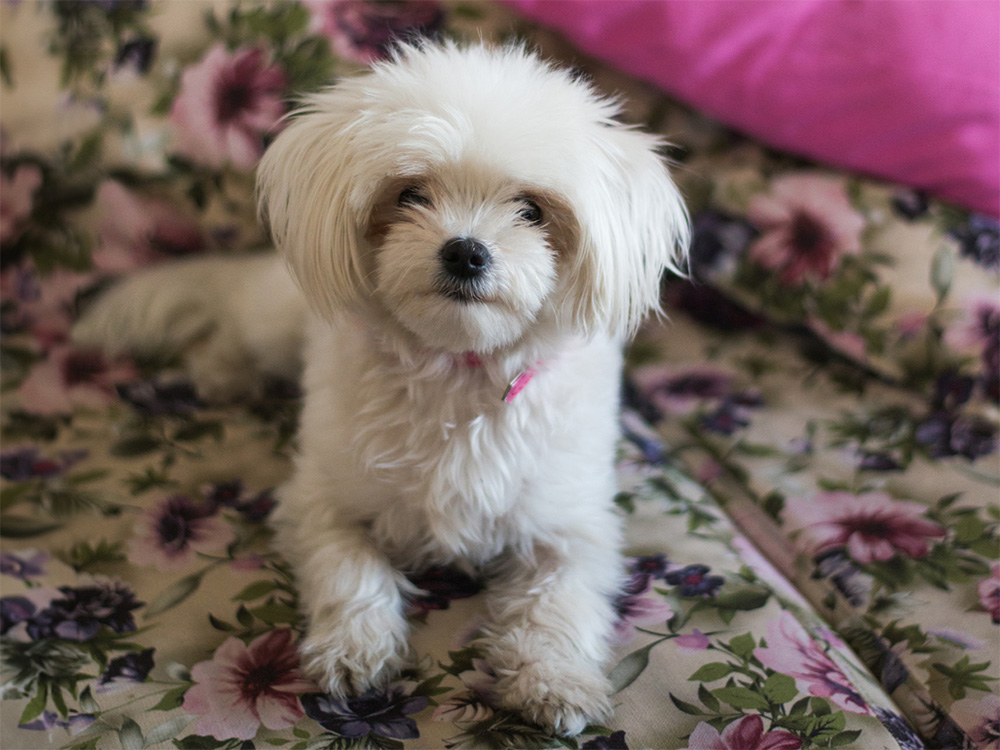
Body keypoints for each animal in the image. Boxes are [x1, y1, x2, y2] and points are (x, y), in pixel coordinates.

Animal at [74, 41, 692, 736]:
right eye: (410, 194)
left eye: (532, 210)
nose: (466, 252)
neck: (456, 369)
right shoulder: (323, 498)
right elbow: (351, 570)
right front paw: (354, 648)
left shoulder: (573, 526)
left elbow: (557, 603)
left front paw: (554, 680)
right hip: (273, 320)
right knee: (233, 321)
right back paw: (222, 372)